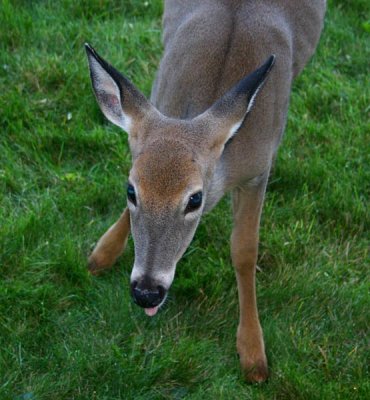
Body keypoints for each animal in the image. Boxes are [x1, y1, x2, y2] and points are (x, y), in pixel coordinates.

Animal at [84, 0, 326, 382]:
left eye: (194, 199)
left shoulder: (259, 171)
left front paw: (253, 352)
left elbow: (244, 250)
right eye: (131, 190)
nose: (147, 292)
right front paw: (102, 254)